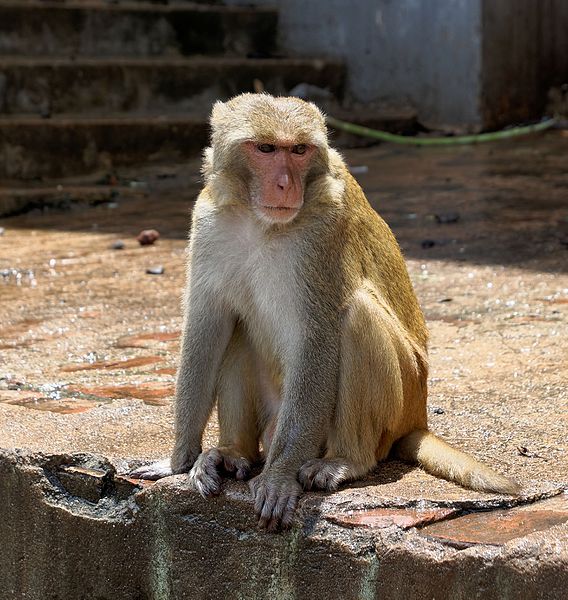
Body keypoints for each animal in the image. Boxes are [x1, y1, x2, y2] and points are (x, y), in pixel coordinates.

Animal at [132, 92, 520, 528]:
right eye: (266, 149)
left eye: (299, 150)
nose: (285, 184)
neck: (259, 222)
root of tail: (417, 418)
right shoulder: (208, 221)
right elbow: (207, 328)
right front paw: (177, 462)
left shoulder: (323, 233)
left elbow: (317, 339)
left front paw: (279, 477)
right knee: (239, 328)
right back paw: (234, 454)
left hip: (396, 401)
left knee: (356, 318)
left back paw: (347, 460)